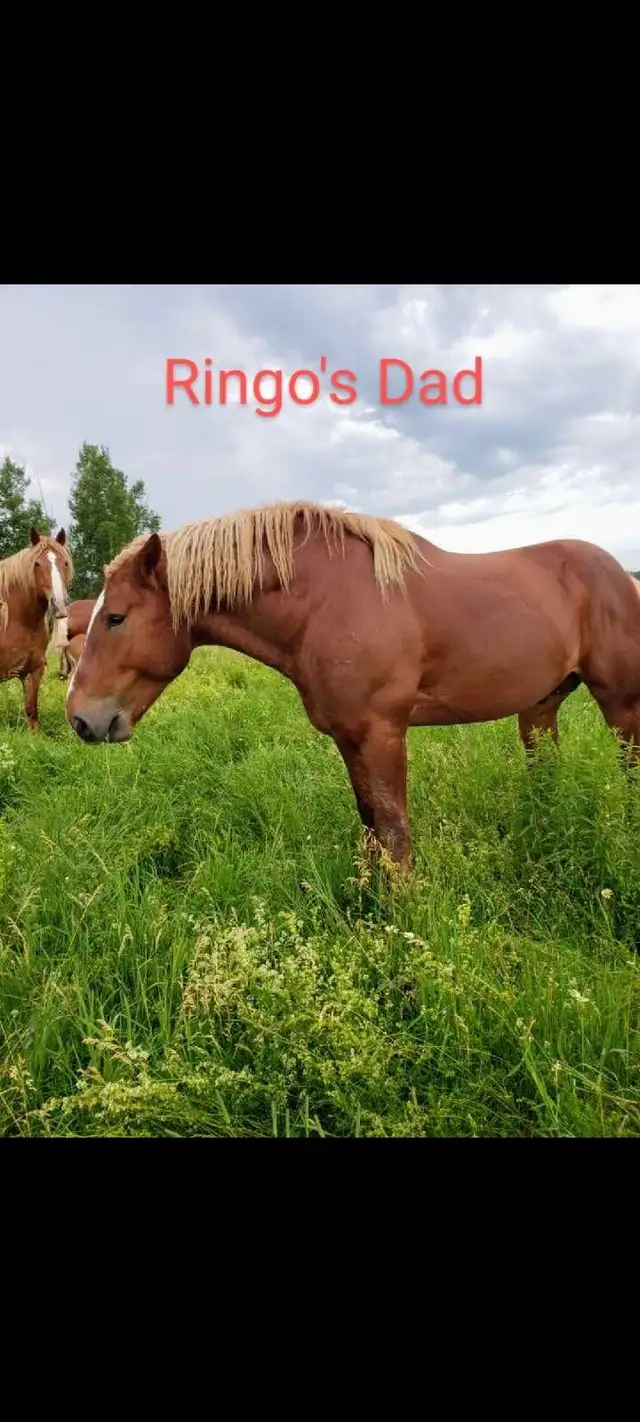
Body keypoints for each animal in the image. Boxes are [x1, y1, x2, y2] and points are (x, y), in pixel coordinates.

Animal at [64, 500, 640, 870]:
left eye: (115, 618)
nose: (80, 717)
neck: (327, 601)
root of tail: (619, 572)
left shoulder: (382, 733)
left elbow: (393, 833)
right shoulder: (349, 737)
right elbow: (370, 826)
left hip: (622, 706)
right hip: (540, 707)